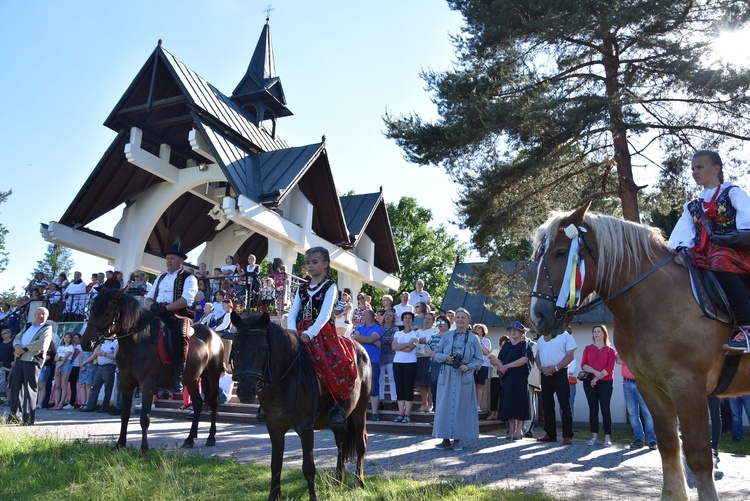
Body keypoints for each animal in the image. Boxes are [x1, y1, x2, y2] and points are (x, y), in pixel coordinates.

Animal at [82, 286, 225, 454]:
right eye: (91, 310)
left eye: (107, 313)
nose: (86, 343)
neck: (137, 342)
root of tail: (213, 334)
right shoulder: (126, 383)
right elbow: (125, 415)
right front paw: (119, 444)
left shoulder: (147, 384)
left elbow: (145, 417)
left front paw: (144, 449)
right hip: (192, 379)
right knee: (197, 403)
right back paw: (189, 439)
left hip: (213, 375)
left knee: (214, 402)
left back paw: (211, 437)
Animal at [229, 310, 370, 498]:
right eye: (236, 348)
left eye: (263, 348)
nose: (245, 391)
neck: (284, 380)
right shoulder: (274, 427)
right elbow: (275, 464)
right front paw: (274, 496)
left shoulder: (305, 428)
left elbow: (309, 467)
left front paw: (314, 497)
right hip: (340, 419)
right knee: (341, 442)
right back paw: (338, 480)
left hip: (360, 408)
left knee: (361, 442)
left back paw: (359, 482)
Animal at [532, 201, 748, 498]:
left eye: (562, 252)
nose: (538, 315)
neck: (651, 297)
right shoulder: (651, 386)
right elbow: (668, 445)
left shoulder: (688, 386)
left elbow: (698, 455)